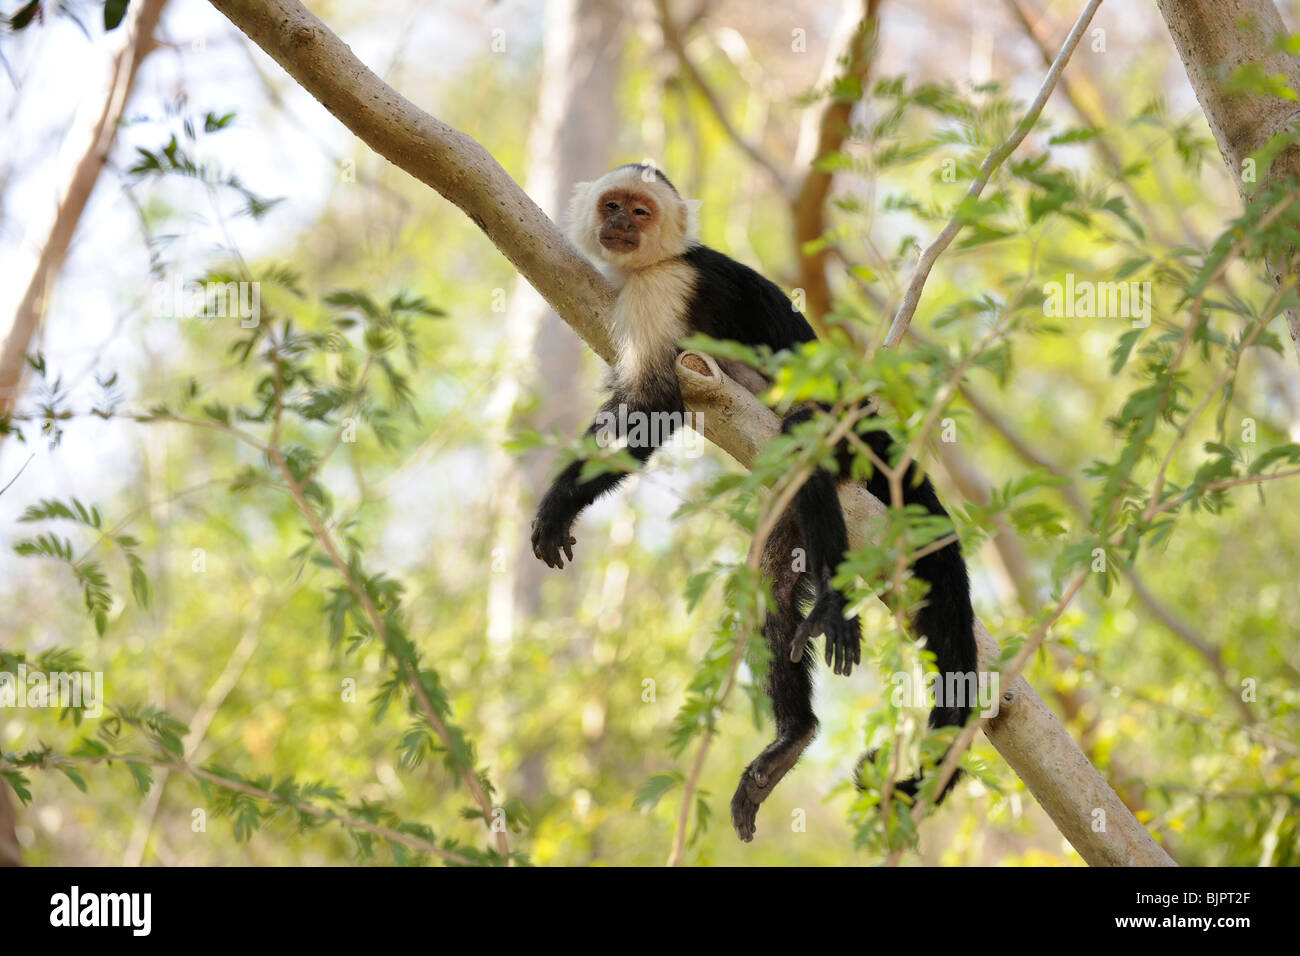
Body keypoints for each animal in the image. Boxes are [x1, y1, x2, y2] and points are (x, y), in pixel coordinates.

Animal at [527, 164, 977, 842]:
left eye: (640, 210)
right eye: (611, 206)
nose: (620, 224)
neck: (656, 261)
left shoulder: (665, 288)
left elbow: (655, 407)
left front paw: (558, 507)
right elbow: (624, 406)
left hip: (849, 436)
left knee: (803, 433)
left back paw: (834, 604)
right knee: (773, 581)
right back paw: (792, 737)